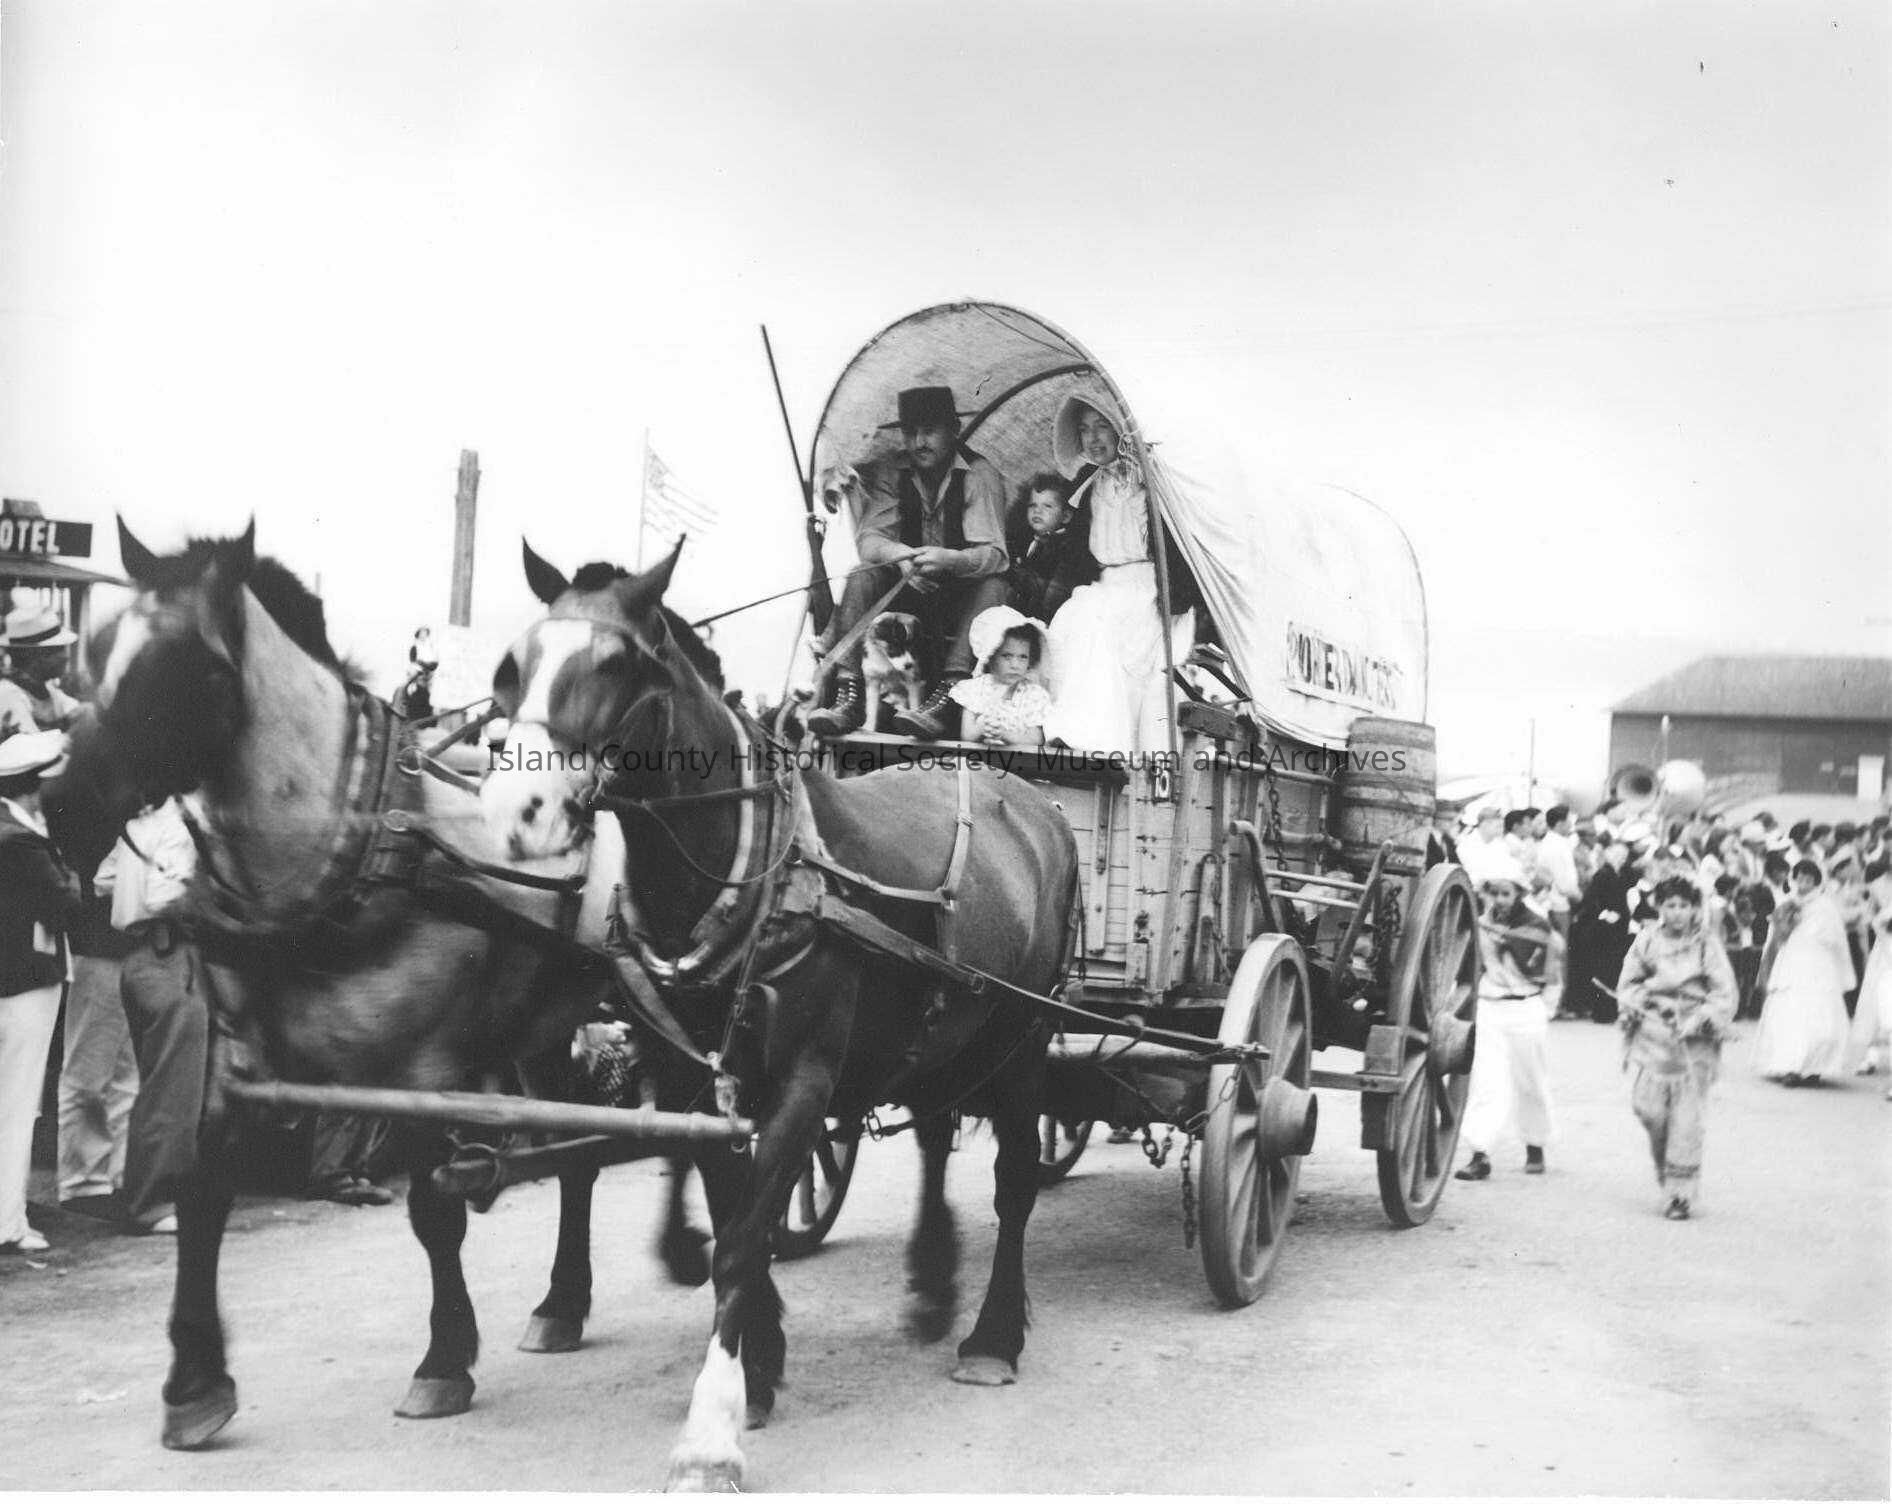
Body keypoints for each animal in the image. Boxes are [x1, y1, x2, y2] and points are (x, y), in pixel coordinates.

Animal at [51, 519, 705, 1451]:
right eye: (98, 652)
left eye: (193, 667)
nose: (59, 806)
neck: (352, 853)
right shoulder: (243, 1058)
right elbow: (203, 1185)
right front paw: (196, 1380)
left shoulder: (424, 1072)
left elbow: (433, 1209)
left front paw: (443, 1361)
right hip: (543, 1027)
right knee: (578, 1148)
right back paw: (562, 1301)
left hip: (664, 1006)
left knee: (693, 1111)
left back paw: (693, 1244)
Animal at [481, 539, 1081, 1491]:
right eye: (513, 665)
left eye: (616, 665)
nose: (517, 812)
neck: (747, 871)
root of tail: (1037, 806)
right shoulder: (696, 1084)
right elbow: (738, 1220)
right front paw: (759, 1365)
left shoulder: (803, 1081)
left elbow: (741, 1240)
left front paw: (710, 1432)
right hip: (938, 1029)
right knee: (935, 1132)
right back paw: (931, 1283)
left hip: (1021, 1037)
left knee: (1015, 1178)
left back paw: (990, 1333)